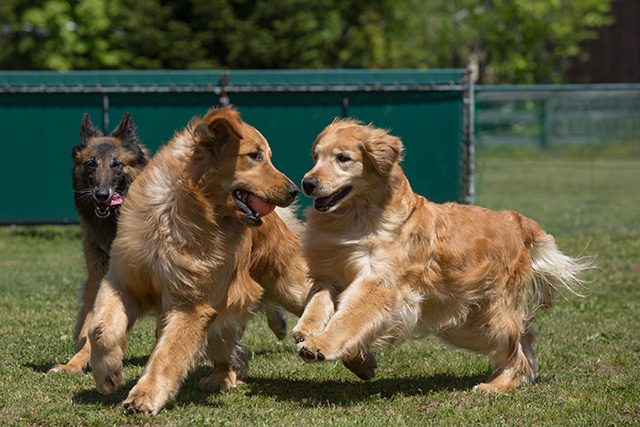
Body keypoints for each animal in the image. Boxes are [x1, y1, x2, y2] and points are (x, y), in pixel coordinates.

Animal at [88, 107, 312, 414]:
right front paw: (107, 374)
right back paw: (221, 377)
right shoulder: (123, 281)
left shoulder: (191, 305)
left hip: (290, 289)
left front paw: (145, 395)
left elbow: (167, 354)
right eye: (255, 155)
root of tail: (279, 220)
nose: (294, 190)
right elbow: (100, 328)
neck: (180, 213)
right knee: (230, 347)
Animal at [292, 119, 592, 394]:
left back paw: (496, 385)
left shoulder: (378, 284)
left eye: (343, 158)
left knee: (516, 351)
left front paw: (321, 344)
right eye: (316, 155)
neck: (357, 218)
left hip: (491, 320)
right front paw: (309, 331)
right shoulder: (331, 272)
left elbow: (349, 319)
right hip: (465, 324)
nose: (307, 183)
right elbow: (317, 301)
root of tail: (512, 219)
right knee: (525, 340)